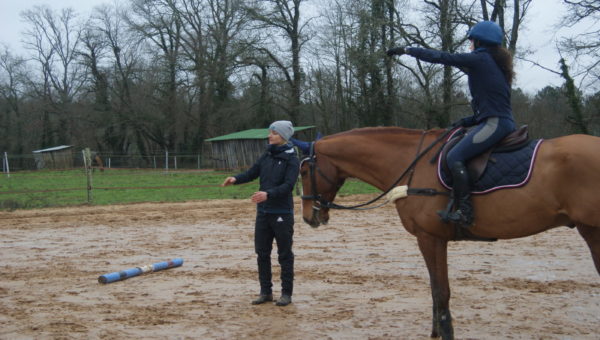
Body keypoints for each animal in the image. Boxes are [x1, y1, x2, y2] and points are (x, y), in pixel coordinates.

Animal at [300, 126, 600, 338]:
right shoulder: (432, 240)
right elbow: (436, 290)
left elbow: (441, 291)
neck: (412, 165)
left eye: (303, 171)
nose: (307, 217)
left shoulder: (429, 238)